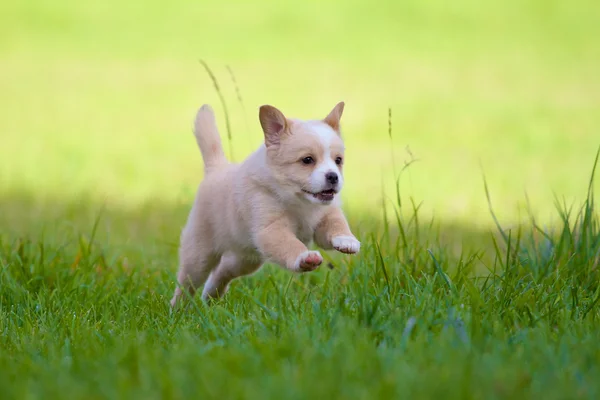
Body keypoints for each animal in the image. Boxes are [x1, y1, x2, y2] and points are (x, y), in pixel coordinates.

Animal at [171, 101, 364, 306]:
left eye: (338, 161)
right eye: (307, 160)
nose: (333, 176)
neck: (300, 202)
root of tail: (216, 168)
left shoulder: (325, 217)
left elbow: (336, 223)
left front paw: (347, 240)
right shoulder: (271, 230)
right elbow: (289, 244)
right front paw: (305, 257)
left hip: (246, 259)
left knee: (222, 271)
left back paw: (209, 297)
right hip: (199, 256)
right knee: (186, 283)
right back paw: (178, 308)